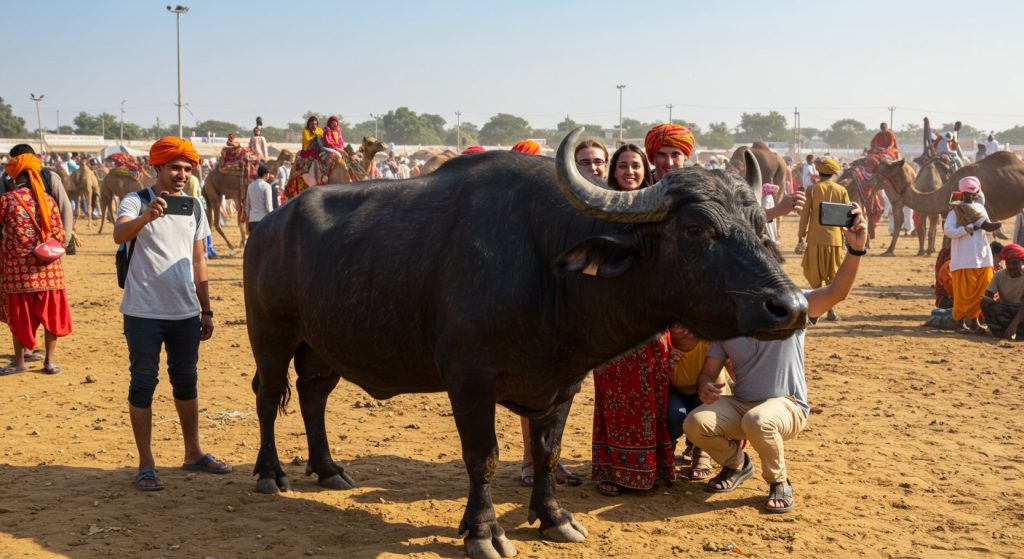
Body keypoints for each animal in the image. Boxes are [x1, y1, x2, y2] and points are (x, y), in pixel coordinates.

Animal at [243, 127, 807, 559]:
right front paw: (483, 532)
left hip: (323, 346)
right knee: (269, 397)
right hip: (271, 334)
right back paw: (270, 475)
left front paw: (554, 518)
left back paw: (328, 469)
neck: (548, 267)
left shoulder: (562, 383)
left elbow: (548, 452)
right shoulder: (469, 382)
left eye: (760, 224)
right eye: (695, 228)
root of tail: (269, 225)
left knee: (313, 395)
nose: (793, 307)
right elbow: (483, 457)